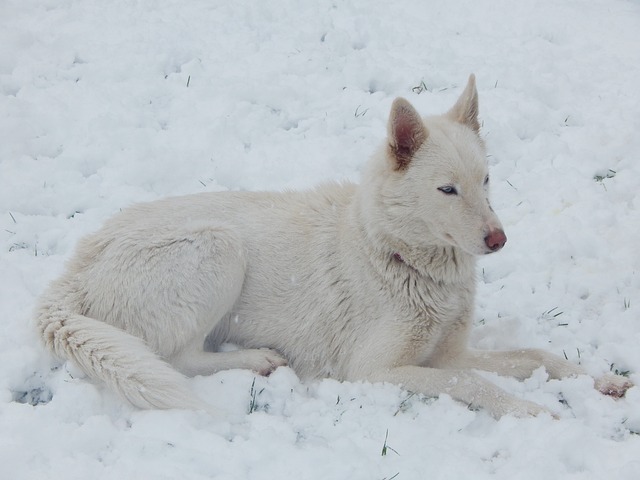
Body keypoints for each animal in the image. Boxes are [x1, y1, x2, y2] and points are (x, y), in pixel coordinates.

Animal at [36, 74, 632, 416]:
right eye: (447, 189)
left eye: (486, 181)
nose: (499, 239)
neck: (395, 254)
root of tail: (71, 274)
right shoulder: (374, 370)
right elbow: (468, 380)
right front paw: (538, 413)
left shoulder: (451, 349)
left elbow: (537, 355)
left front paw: (602, 381)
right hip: (217, 249)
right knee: (175, 359)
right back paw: (257, 360)